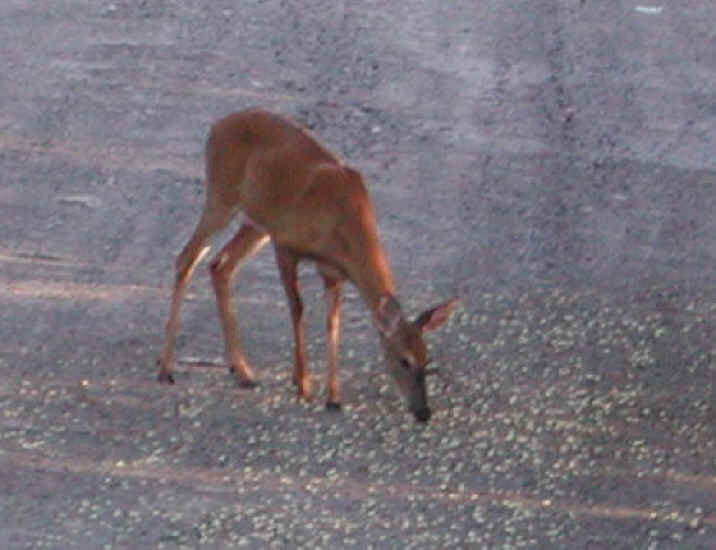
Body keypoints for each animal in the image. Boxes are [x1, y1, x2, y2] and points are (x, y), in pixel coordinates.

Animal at [157, 108, 457, 422]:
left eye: (428, 359)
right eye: (403, 360)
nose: (424, 412)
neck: (346, 218)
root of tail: (218, 125)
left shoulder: (332, 270)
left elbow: (332, 323)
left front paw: (333, 396)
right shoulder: (286, 245)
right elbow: (298, 310)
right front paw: (303, 384)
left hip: (256, 222)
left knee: (220, 265)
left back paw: (241, 370)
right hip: (222, 196)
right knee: (187, 257)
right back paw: (166, 368)